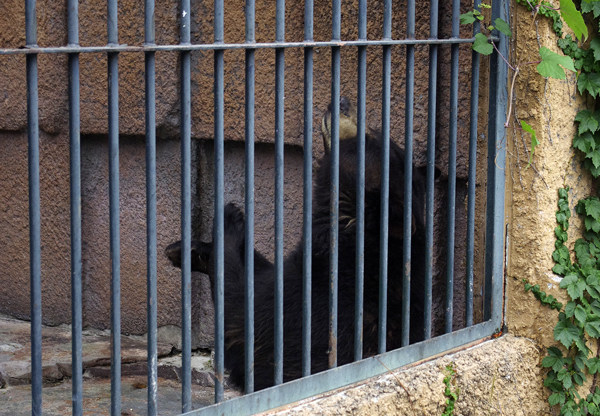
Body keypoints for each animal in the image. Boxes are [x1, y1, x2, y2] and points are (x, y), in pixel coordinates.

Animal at [164, 96, 426, 390]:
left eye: (368, 137)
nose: (343, 101)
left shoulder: (306, 307)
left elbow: (239, 306)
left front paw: (230, 219)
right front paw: (186, 249)